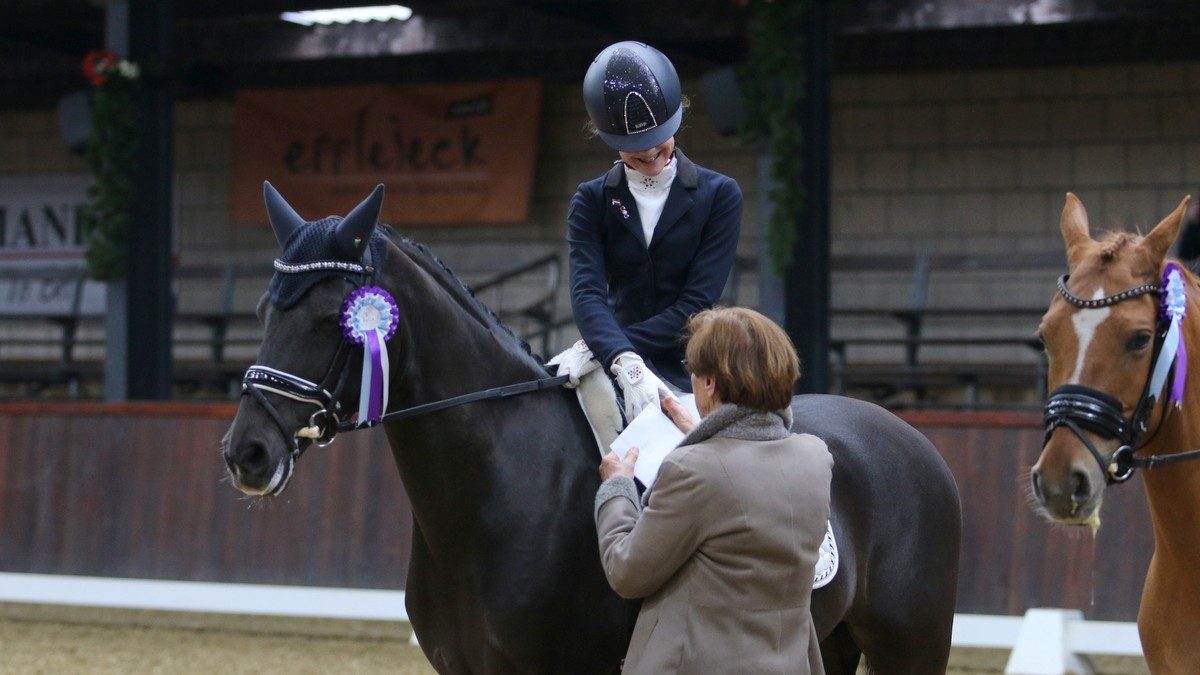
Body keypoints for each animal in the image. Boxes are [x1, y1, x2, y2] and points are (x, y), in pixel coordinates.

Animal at [220, 183, 960, 672]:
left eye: (331, 318)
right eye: (263, 310)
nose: (246, 453)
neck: (495, 491)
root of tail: (912, 438)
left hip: (911, 644)